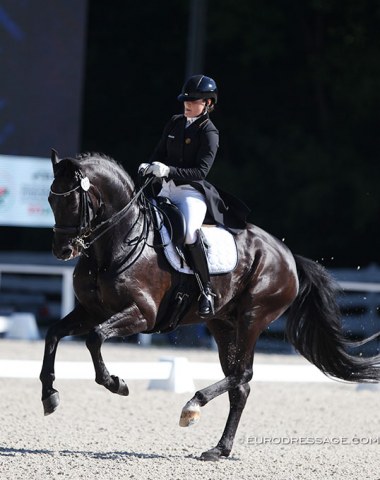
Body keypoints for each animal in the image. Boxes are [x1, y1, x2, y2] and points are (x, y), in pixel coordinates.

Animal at [40, 151, 378, 462]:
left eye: (73, 202)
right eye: (50, 199)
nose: (62, 250)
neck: (117, 243)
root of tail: (288, 256)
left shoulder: (142, 315)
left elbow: (95, 337)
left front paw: (116, 383)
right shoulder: (91, 311)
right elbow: (54, 334)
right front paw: (49, 396)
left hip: (253, 317)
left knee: (244, 373)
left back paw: (192, 406)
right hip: (222, 324)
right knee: (240, 385)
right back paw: (219, 448)